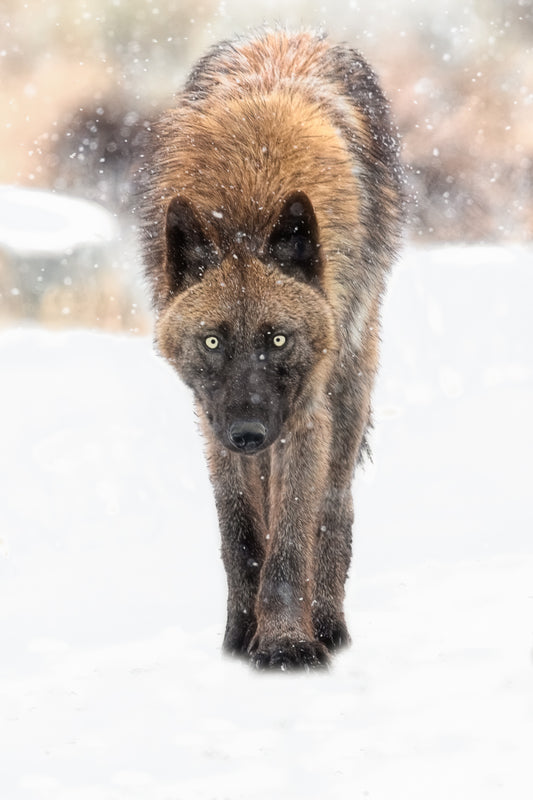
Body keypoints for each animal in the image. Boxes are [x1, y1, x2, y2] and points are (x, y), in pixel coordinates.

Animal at [137, 29, 403, 669]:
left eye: (278, 338)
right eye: (212, 341)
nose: (250, 433)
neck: (248, 191)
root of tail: (291, 31)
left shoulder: (304, 415)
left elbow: (290, 538)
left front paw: (286, 645)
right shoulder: (211, 422)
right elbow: (241, 536)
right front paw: (241, 638)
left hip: (347, 391)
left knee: (332, 510)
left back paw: (328, 624)